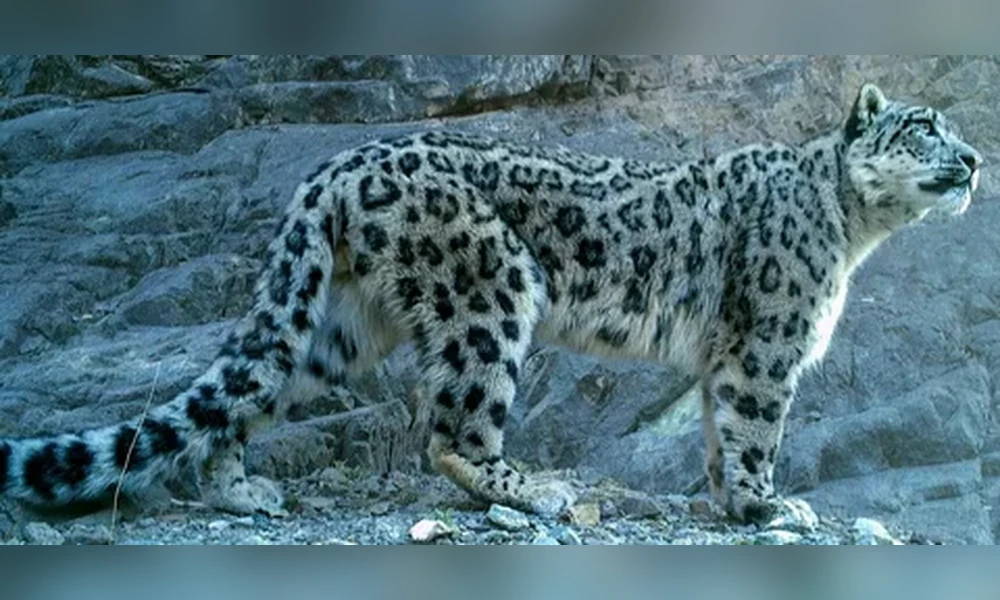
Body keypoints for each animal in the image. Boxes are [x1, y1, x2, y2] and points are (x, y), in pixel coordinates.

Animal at [0, 83, 982, 524]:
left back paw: (241, 491)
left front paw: (727, 503)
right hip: (495, 287)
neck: (857, 230)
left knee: (253, 388)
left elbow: (714, 432)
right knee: (454, 429)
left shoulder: (728, 356)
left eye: (953, 130)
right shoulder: (766, 345)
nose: (976, 159)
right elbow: (752, 430)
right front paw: (766, 507)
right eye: (923, 127)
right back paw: (537, 488)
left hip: (336, 325)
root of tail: (336, 166)